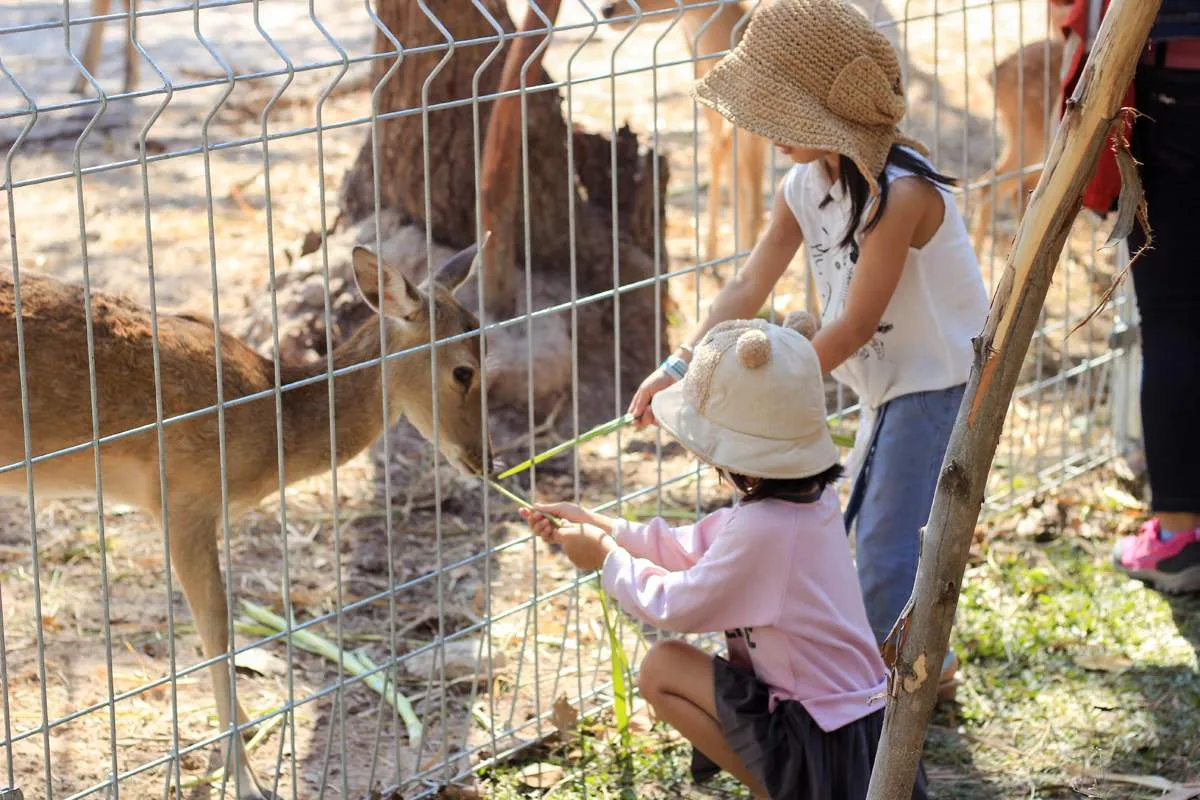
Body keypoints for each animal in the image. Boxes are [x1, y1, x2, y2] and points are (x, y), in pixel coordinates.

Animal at [0, 245, 489, 800]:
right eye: (464, 371)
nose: (486, 460)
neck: (270, 415)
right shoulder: (183, 501)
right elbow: (217, 628)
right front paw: (248, 779)